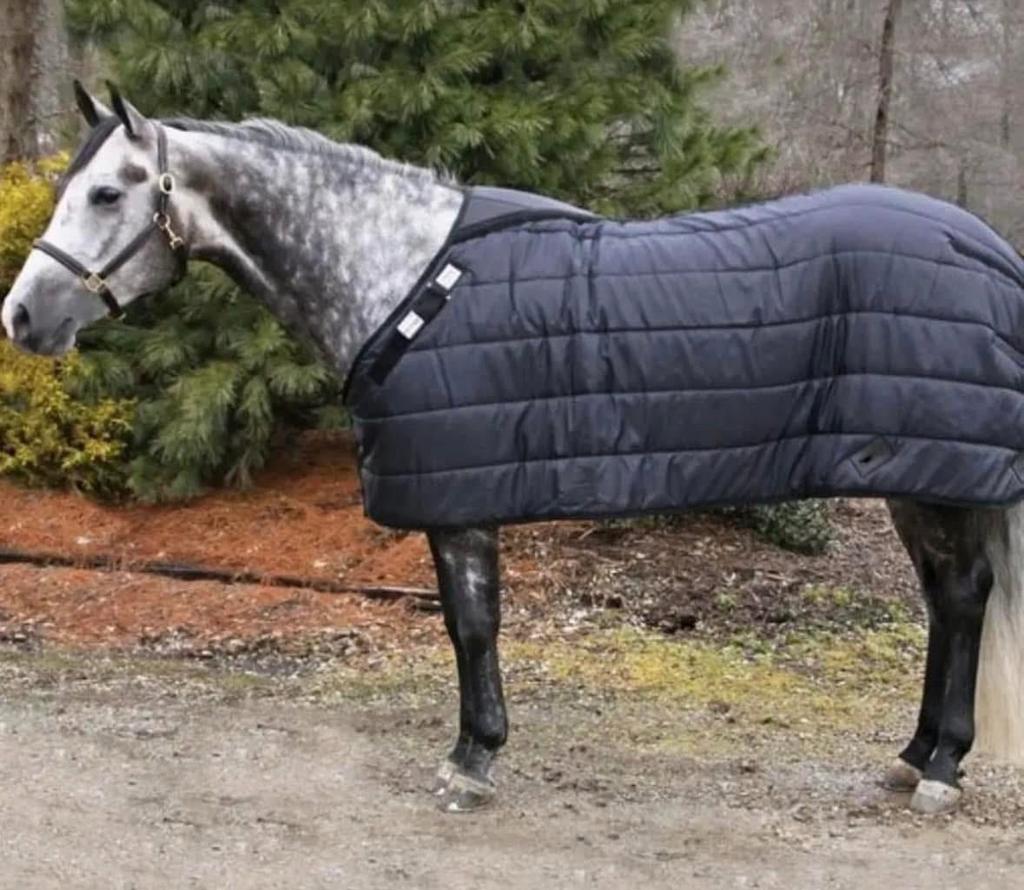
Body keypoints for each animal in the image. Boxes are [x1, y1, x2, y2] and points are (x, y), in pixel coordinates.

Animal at [5, 84, 1024, 817]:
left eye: (106, 193)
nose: (20, 317)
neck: (405, 278)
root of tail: (985, 247)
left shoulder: (461, 503)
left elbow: (471, 625)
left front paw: (472, 759)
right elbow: (471, 626)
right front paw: (476, 748)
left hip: (941, 476)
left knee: (964, 598)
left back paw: (943, 768)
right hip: (910, 472)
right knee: (946, 599)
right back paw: (913, 757)